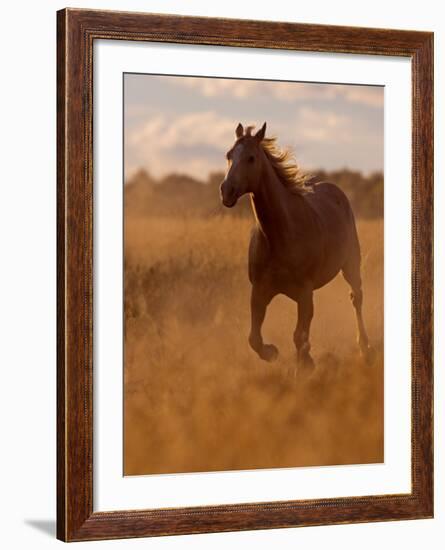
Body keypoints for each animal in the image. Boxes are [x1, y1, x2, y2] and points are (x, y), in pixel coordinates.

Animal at [218, 123, 368, 368]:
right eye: (229, 155)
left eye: (251, 158)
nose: (226, 191)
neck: (280, 235)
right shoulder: (259, 291)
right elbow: (254, 338)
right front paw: (272, 352)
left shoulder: (305, 292)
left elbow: (300, 336)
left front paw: (305, 366)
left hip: (351, 264)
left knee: (357, 298)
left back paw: (365, 347)